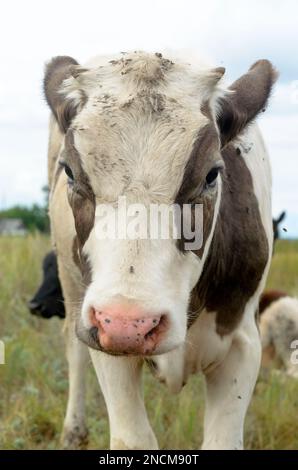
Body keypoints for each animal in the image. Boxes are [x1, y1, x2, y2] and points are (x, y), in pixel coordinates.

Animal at [44, 49, 278, 450]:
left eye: (212, 175)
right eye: (70, 172)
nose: (130, 326)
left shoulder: (243, 344)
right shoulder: (101, 335)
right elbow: (133, 439)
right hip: (69, 280)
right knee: (73, 350)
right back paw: (73, 431)